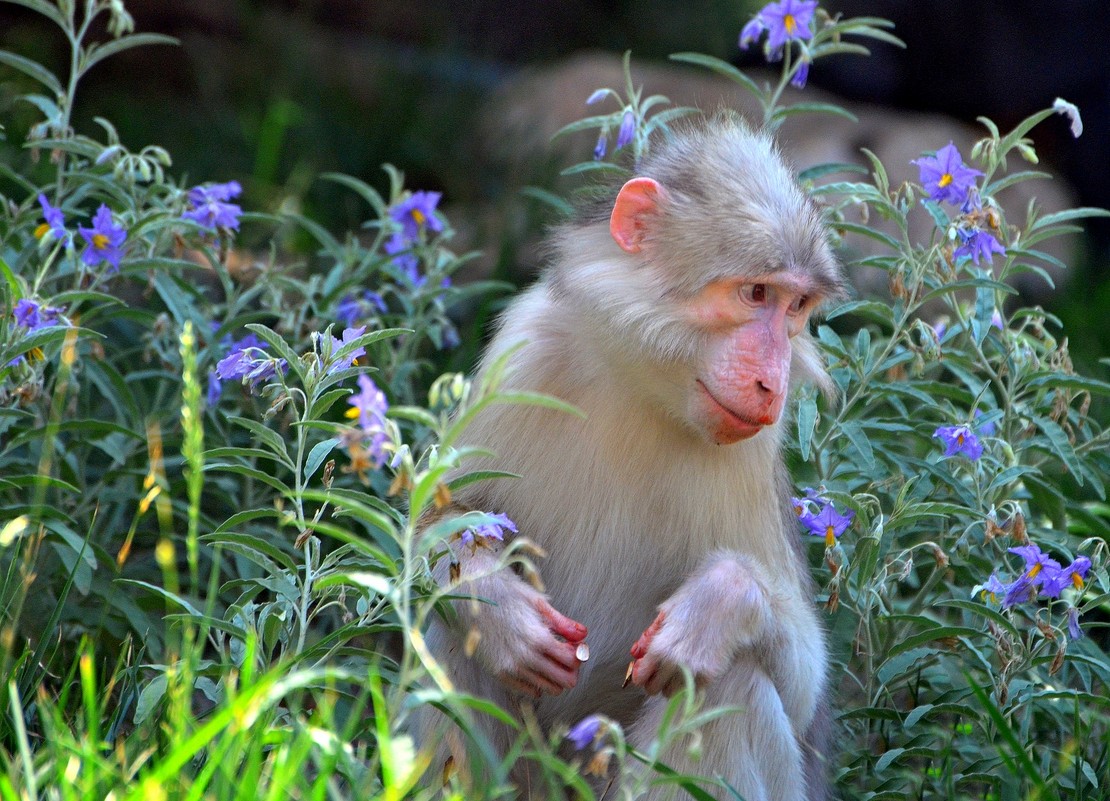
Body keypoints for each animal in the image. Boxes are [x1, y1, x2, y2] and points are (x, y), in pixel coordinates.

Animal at [419, 113, 843, 798]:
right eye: (757, 293)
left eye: (797, 307)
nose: (771, 384)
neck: (643, 388)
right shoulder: (527, 348)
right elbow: (435, 523)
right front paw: (495, 600)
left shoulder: (753, 452)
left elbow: (803, 691)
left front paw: (720, 603)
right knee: (457, 634)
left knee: (729, 684)